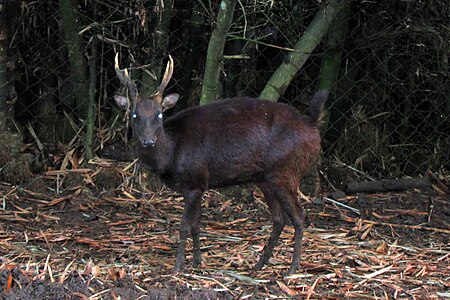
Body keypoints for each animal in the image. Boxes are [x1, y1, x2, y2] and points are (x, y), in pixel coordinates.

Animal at [114, 54, 328, 274]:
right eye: (134, 115)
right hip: (266, 179)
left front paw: (177, 267)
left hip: (286, 172)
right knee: (279, 218)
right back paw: (259, 264)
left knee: (299, 215)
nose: (148, 141)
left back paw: (292, 268)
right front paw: (197, 262)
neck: (171, 155)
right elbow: (196, 225)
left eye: (159, 114)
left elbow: (184, 226)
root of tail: (312, 125)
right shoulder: (198, 184)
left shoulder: (194, 180)